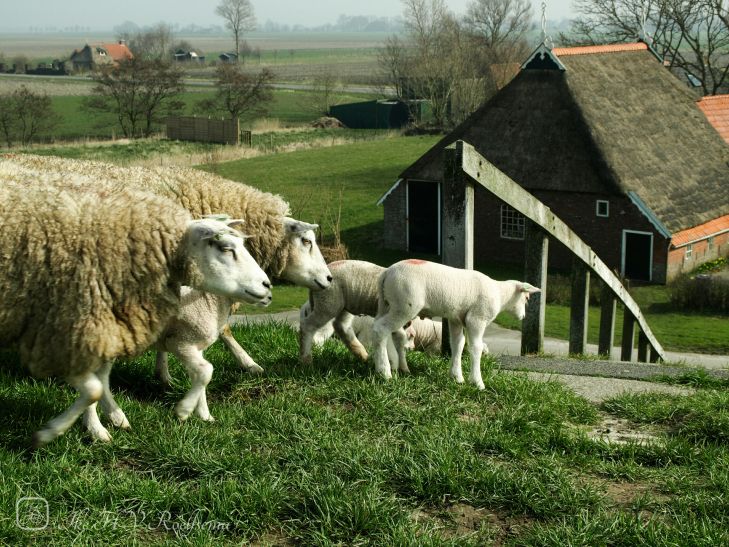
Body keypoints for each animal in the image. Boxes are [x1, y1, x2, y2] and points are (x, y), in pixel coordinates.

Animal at [0, 178, 270, 448]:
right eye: (226, 248)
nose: (267, 286)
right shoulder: (180, 342)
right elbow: (206, 371)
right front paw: (183, 410)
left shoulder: (194, 344)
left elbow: (202, 375)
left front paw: (203, 414)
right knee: (98, 382)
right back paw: (101, 425)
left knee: (102, 379)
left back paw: (115, 417)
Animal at [372, 260, 536, 390]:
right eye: (527, 298)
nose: (523, 316)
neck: (501, 295)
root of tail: (386, 273)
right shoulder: (477, 318)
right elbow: (476, 347)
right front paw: (477, 383)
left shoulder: (456, 319)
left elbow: (458, 344)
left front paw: (457, 377)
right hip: (405, 305)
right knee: (381, 330)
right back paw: (385, 372)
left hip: (387, 304)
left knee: (379, 328)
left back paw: (387, 366)